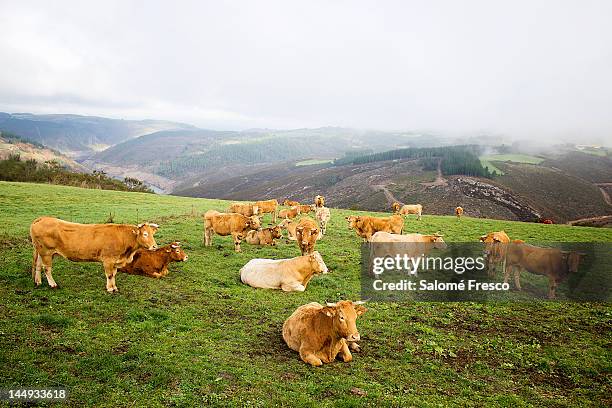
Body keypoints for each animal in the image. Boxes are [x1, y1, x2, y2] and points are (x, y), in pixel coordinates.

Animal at [29, 217, 159, 294]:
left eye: (152, 234)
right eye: (145, 234)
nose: (154, 246)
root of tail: (43, 218)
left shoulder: (115, 262)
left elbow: (114, 274)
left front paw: (114, 287)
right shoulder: (108, 260)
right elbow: (110, 275)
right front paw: (110, 289)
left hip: (41, 251)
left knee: (38, 266)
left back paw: (38, 282)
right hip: (46, 252)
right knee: (47, 268)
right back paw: (53, 284)